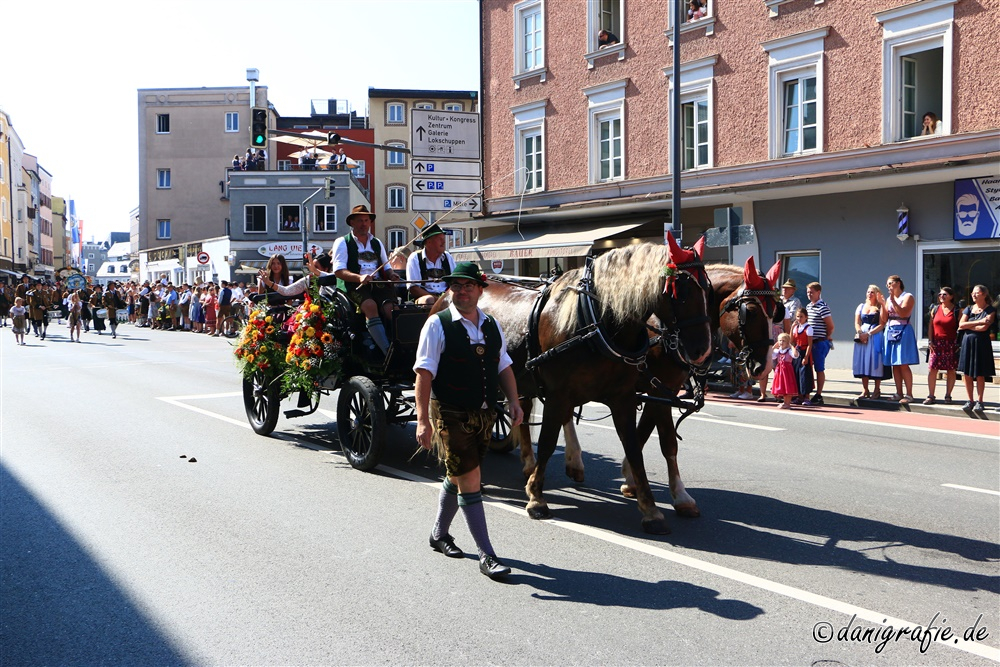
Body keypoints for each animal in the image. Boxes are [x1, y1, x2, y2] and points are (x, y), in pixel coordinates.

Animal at [434, 239, 716, 532]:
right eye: (680, 291)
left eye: (708, 291)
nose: (702, 351)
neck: (596, 323)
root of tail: (447, 293)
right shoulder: (561, 394)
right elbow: (548, 441)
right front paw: (536, 497)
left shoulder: (627, 398)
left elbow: (636, 446)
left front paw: (650, 507)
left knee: (523, 412)